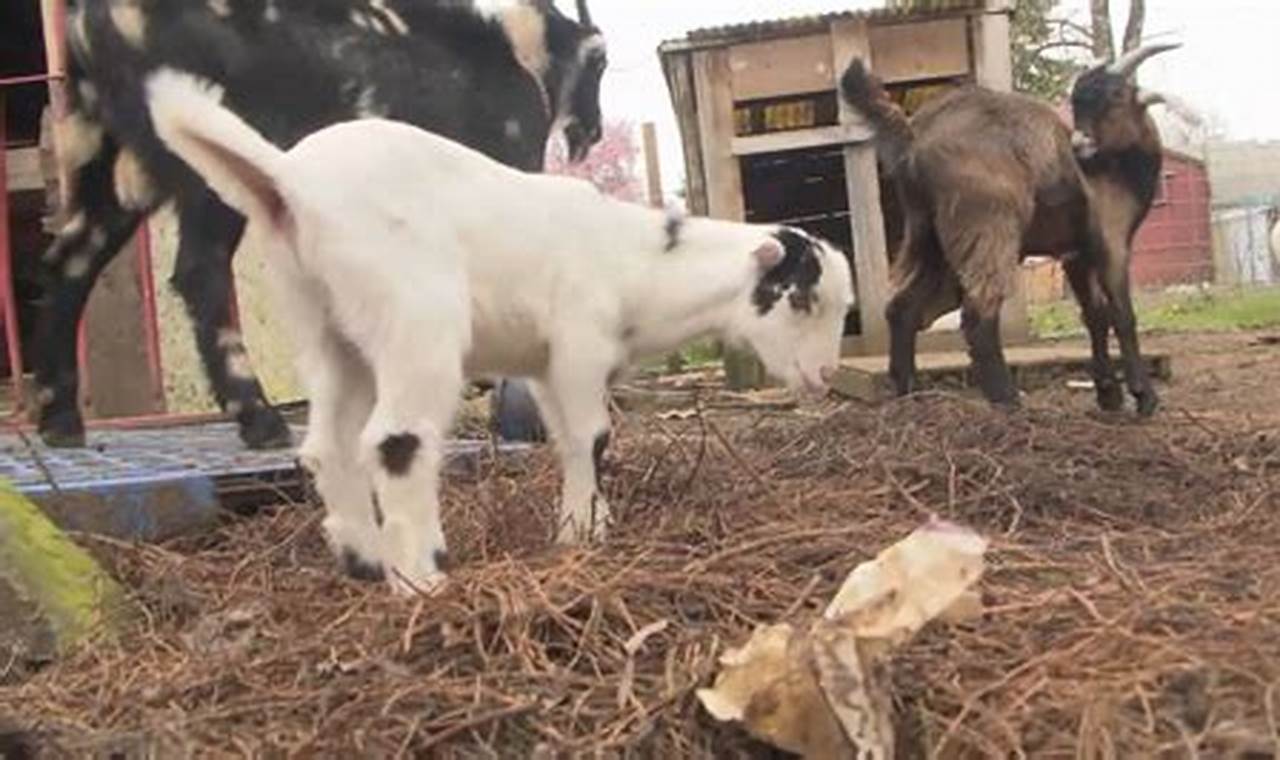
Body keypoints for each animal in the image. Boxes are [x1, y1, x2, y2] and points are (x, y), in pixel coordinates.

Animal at [34, 0, 607, 451]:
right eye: (600, 61)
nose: (595, 131)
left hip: (104, 152)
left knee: (71, 260)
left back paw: (58, 417)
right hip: (203, 159)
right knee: (200, 271)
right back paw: (259, 419)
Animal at [143, 68, 856, 593]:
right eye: (802, 299)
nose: (824, 376)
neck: (639, 262)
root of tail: (292, 183)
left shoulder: (542, 365)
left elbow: (567, 439)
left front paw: (587, 523)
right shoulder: (579, 343)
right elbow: (594, 436)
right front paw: (580, 532)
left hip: (327, 330)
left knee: (328, 446)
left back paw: (364, 560)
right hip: (414, 318)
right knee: (395, 441)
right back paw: (421, 577)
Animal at [839, 44, 1179, 416]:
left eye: (1116, 95)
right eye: (1078, 100)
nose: (1079, 145)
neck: (1111, 169)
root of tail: (915, 138)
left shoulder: (1075, 255)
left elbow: (1095, 315)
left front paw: (1108, 394)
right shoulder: (1112, 243)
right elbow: (1122, 313)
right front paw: (1143, 397)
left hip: (931, 240)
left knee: (903, 309)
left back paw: (909, 391)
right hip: (987, 228)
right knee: (977, 315)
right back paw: (1007, 399)